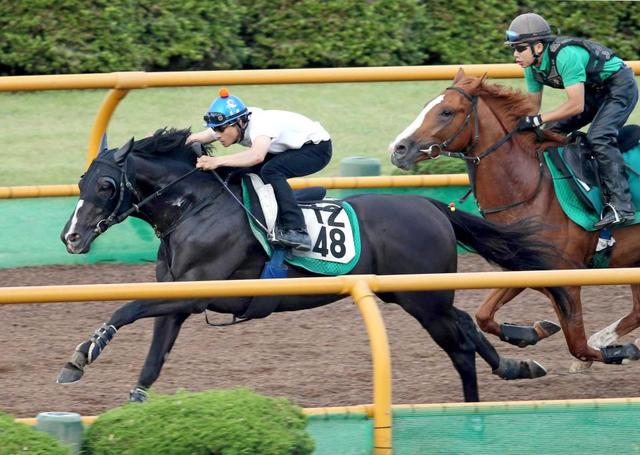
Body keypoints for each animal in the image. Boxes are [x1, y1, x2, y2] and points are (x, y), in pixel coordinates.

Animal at [58, 128, 565, 403]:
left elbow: (127, 308)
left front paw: (80, 356)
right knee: (465, 324)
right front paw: (133, 400)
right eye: (81, 181)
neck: (194, 207)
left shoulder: (199, 291)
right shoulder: (177, 297)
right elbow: (153, 359)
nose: (71, 237)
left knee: (459, 345)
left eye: (105, 185)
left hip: (424, 300)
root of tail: (431, 205)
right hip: (415, 294)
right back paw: (518, 363)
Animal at [390, 68, 640, 370]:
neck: (532, 190)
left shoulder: (567, 278)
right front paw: (532, 332)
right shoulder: (522, 265)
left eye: (446, 112)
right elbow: (484, 314)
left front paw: (615, 352)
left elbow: (578, 346)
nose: (398, 149)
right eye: (427, 105)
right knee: (638, 310)